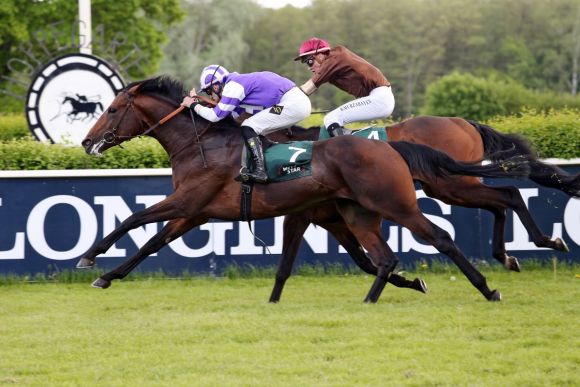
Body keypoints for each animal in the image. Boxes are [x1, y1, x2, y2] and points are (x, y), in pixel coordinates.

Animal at [75, 76, 528, 304]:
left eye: (112, 109)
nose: (86, 142)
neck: (202, 143)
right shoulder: (197, 210)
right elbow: (153, 241)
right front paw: (109, 276)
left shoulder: (188, 200)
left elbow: (134, 218)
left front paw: (89, 257)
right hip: (375, 207)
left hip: (418, 196)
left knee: (453, 230)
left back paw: (491, 283)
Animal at [266, 118, 572, 304]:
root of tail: (465, 123)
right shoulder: (336, 221)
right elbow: (365, 261)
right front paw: (411, 281)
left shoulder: (306, 215)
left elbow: (289, 264)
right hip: (451, 187)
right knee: (501, 202)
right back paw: (508, 256)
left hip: (451, 185)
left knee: (507, 196)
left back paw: (542, 242)